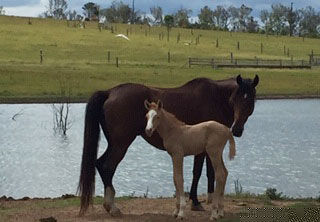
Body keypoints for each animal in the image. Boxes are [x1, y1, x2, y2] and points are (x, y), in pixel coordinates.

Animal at [78, 74, 260, 215]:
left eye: (251, 100)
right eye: (236, 98)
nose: (237, 130)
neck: (215, 98)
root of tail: (109, 92)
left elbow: (210, 173)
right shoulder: (201, 149)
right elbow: (198, 172)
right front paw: (196, 202)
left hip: (115, 143)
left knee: (100, 164)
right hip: (120, 144)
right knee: (107, 166)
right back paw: (112, 207)